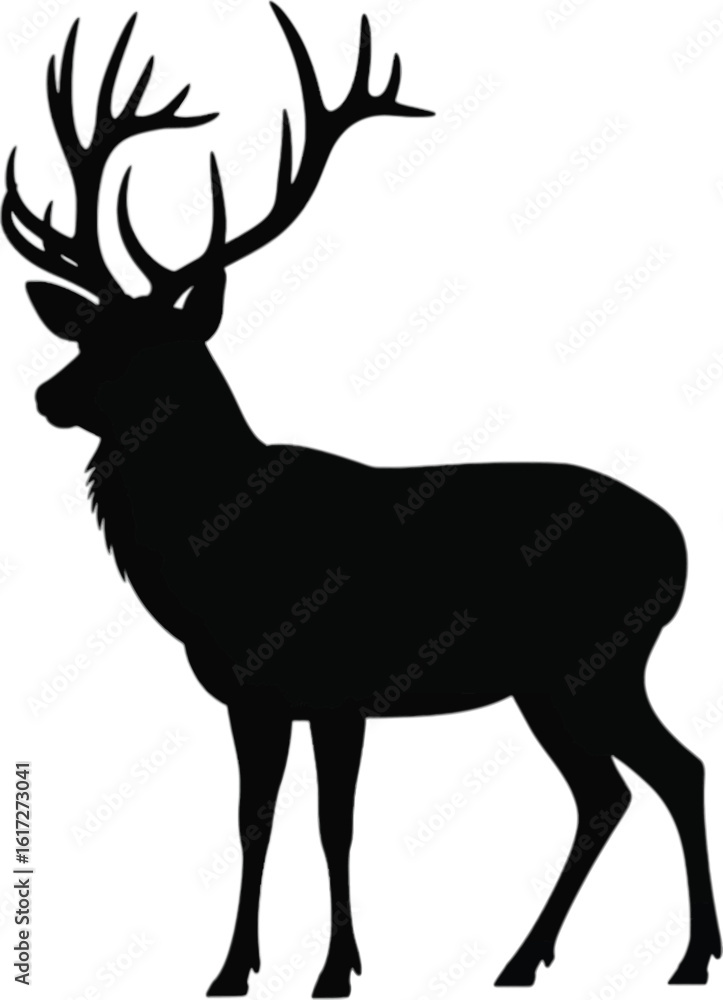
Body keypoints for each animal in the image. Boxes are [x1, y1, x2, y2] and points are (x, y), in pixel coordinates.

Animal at [3, 5, 720, 995]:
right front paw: (233, 970)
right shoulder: (250, 694)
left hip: (597, 661)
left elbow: (332, 825)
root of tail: (682, 546)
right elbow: (253, 821)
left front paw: (335, 970)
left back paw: (677, 957)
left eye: (151, 346)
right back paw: (531, 959)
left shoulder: (337, 684)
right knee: (614, 788)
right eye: (89, 332)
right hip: (555, 680)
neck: (213, 561)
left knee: (667, 773)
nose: (45, 396)